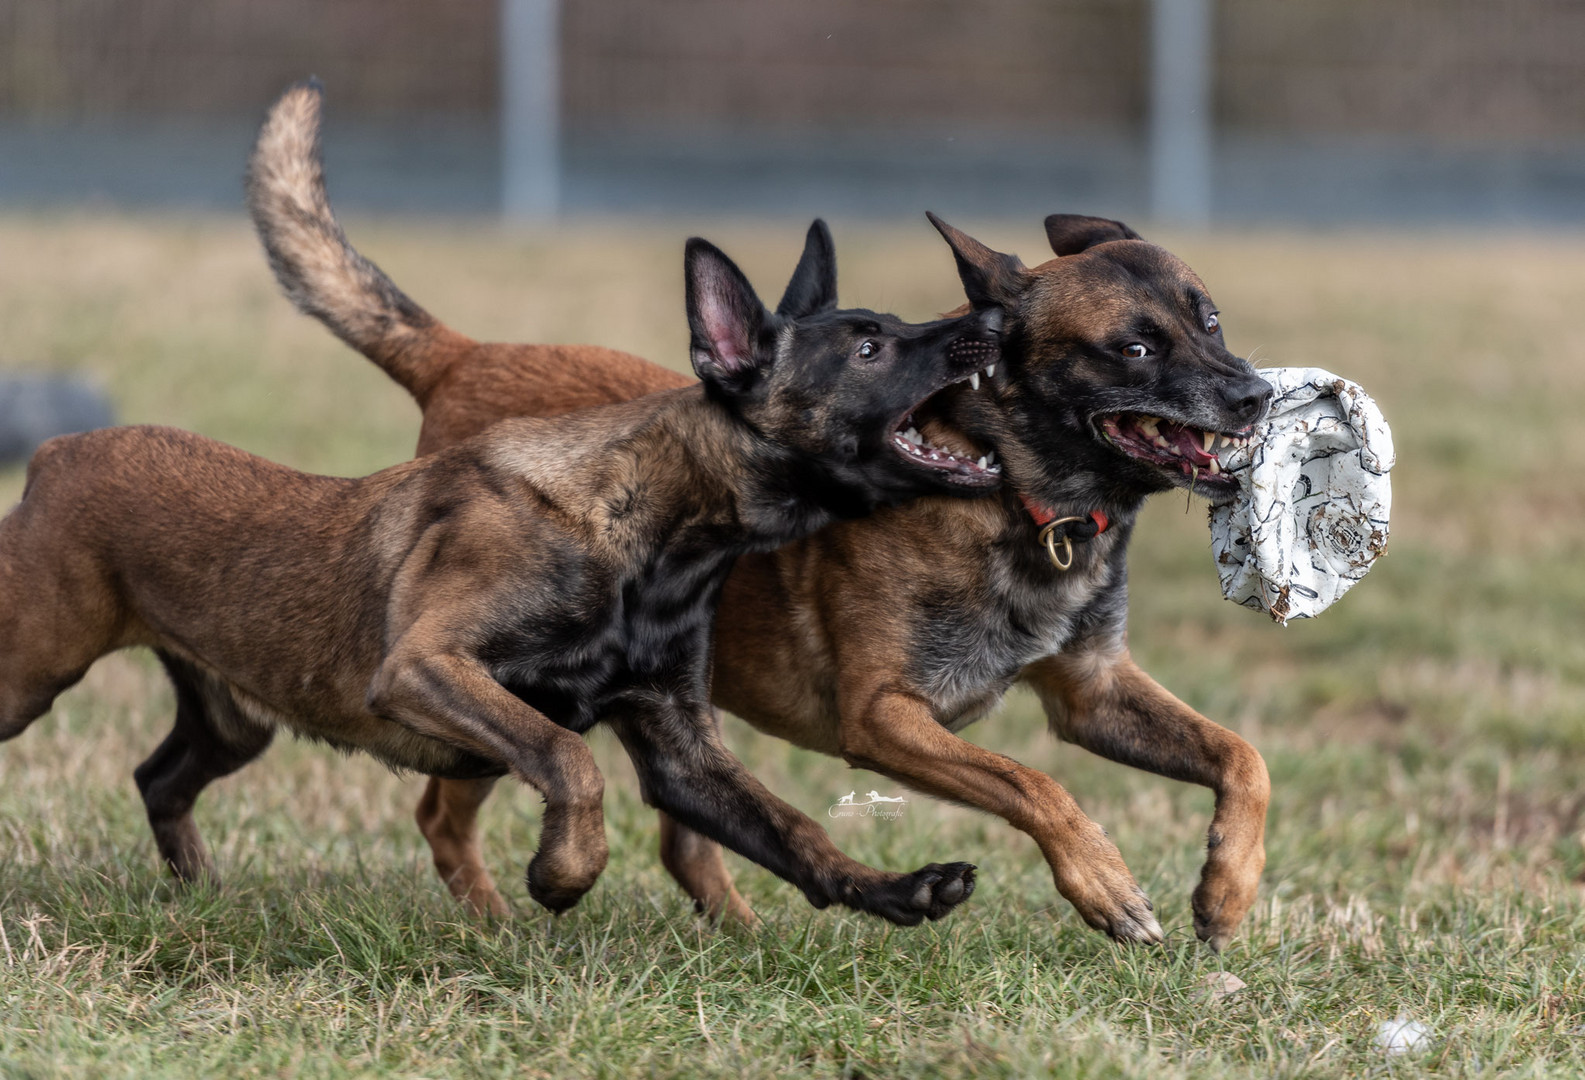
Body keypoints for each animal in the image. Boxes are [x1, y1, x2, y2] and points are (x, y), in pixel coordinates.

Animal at [3, 214, 1014, 919]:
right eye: (869, 346)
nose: (992, 323)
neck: (653, 537)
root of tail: (56, 452)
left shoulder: (680, 749)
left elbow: (790, 829)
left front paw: (895, 889)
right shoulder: (425, 669)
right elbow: (569, 756)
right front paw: (562, 876)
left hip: (232, 717)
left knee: (160, 779)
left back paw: (199, 894)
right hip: (33, 672)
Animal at [240, 82, 1274, 945]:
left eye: (1210, 318)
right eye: (1133, 348)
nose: (1256, 397)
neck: (1023, 498)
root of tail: (460, 355)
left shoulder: (1092, 693)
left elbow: (1242, 757)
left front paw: (1226, 893)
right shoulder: (885, 718)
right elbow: (1037, 784)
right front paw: (1104, 884)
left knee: (683, 837)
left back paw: (738, 933)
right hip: (499, 692)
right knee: (448, 811)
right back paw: (500, 925)